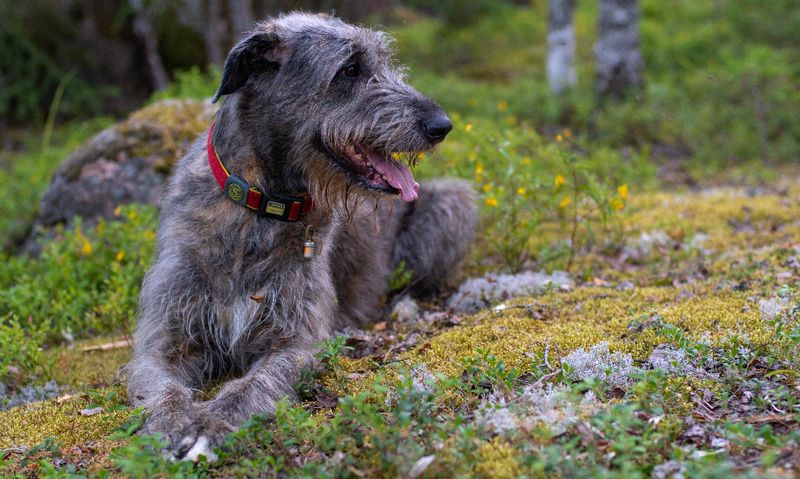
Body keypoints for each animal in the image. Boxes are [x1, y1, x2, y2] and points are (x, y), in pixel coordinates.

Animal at [125, 12, 476, 462]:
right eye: (350, 69)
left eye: (385, 62)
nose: (441, 125)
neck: (261, 208)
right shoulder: (166, 335)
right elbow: (161, 385)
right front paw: (171, 423)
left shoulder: (296, 340)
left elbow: (254, 384)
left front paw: (213, 423)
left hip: (452, 205)